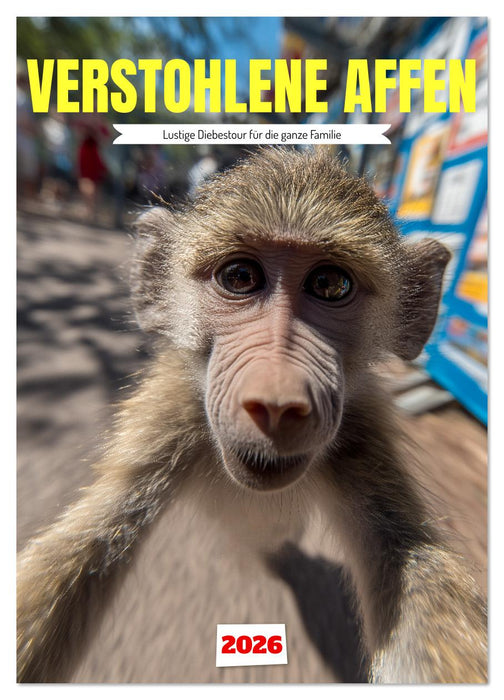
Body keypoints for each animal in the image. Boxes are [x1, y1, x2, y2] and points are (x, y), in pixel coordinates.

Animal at [17, 147, 487, 684]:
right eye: (239, 277)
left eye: (330, 284)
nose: (278, 400)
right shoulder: (171, 415)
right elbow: (95, 535)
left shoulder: (361, 436)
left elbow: (410, 558)